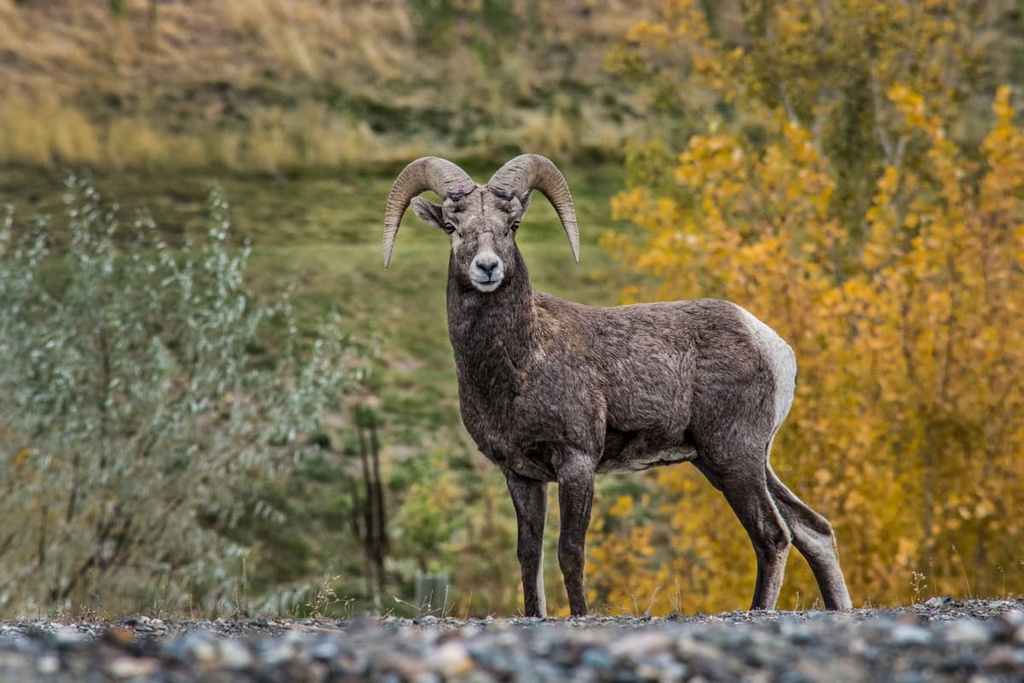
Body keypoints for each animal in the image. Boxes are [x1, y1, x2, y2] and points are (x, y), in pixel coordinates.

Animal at [382, 153, 853, 617]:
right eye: (451, 226)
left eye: (511, 225)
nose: (487, 267)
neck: (520, 365)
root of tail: (772, 345)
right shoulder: (520, 474)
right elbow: (529, 555)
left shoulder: (577, 462)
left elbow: (570, 551)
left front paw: (580, 616)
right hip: (734, 461)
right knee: (812, 530)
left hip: (734, 456)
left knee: (772, 536)